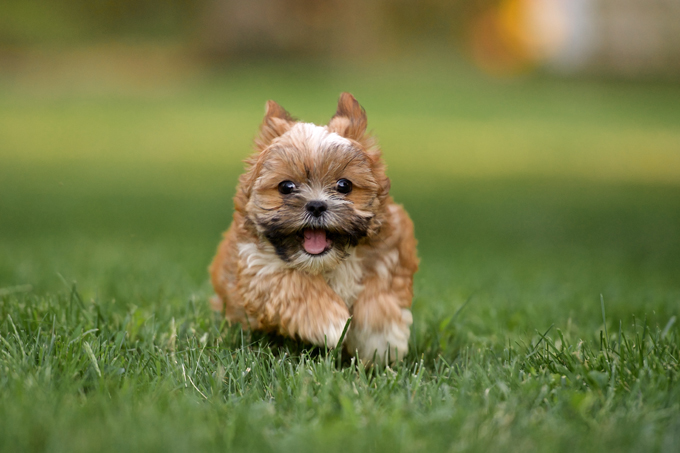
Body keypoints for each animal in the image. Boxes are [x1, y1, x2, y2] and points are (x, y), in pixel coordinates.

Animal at [210, 92, 418, 364]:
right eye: (286, 187)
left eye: (344, 185)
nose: (317, 205)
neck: (330, 263)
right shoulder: (259, 267)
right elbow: (295, 284)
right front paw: (334, 324)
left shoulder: (391, 253)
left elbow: (379, 294)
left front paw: (382, 342)